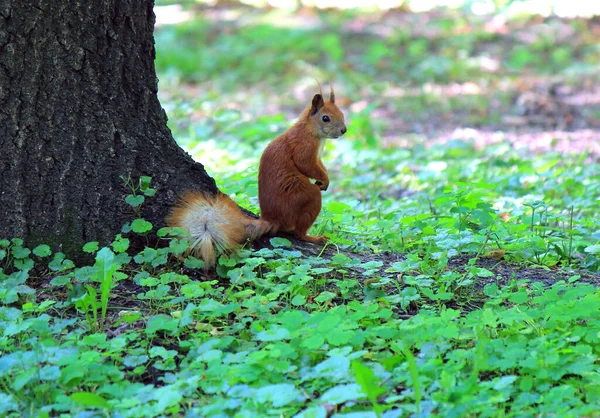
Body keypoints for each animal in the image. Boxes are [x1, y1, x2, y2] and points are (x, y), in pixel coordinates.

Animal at [169, 87, 346, 268]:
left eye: (341, 112)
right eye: (326, 118)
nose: (343, 130)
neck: (310, 130)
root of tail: (273, 219)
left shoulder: (317, 156)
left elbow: (319, 165)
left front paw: (325, 178)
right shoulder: (303, 147)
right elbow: (306, 165)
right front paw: (324, 179)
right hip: (305, 197)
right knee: (299, 231)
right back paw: (313, 237)